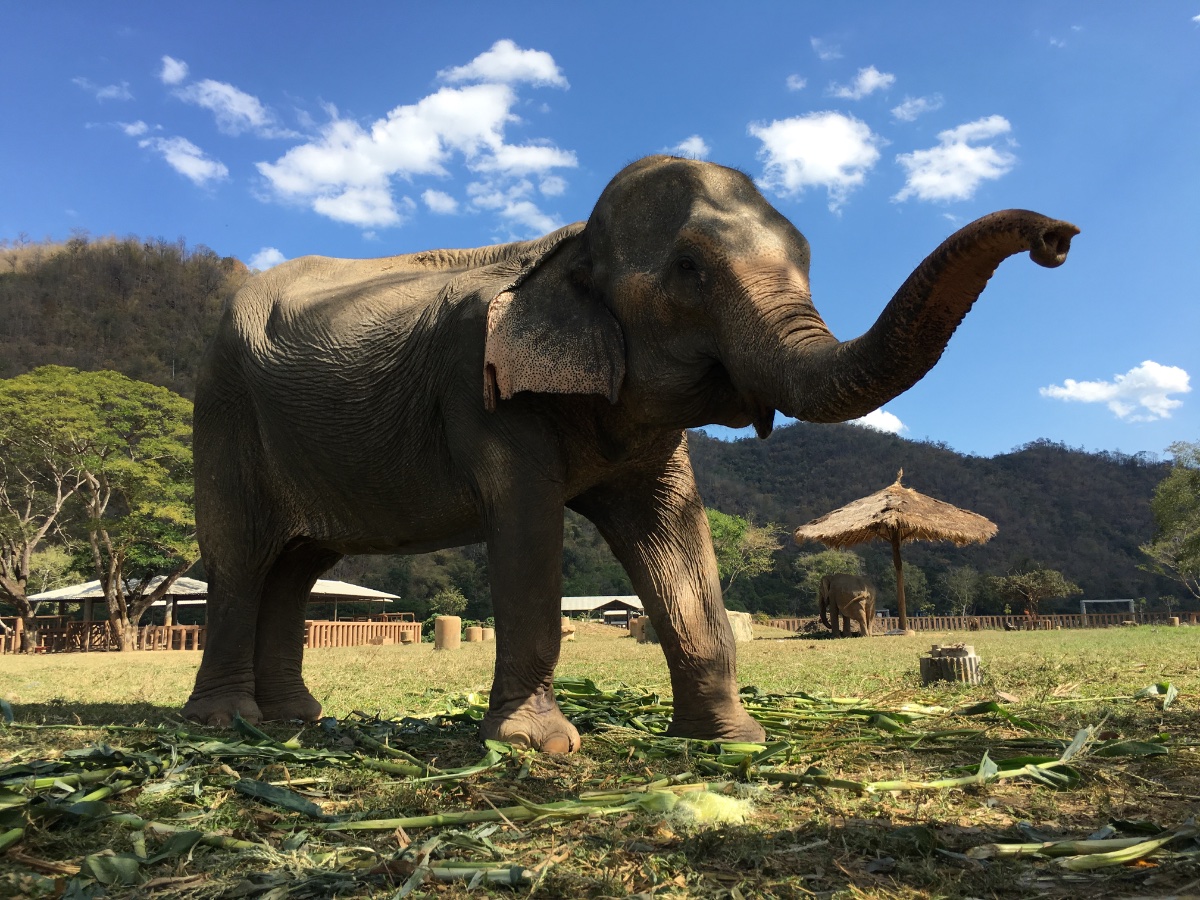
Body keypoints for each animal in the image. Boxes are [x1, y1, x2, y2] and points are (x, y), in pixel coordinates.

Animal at [182, 154, 1076, 752]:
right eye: (688, 270)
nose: (1058, 236)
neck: (567, 245)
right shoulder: (483, 391)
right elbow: (529, 532)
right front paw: (536, 747)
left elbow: (674, 534)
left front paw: (732, 741)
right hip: (223, 414)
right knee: (242, 559)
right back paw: (228, 723)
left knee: (298, 565)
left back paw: (297, 720)